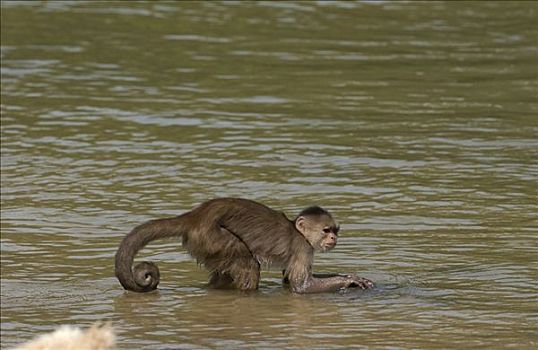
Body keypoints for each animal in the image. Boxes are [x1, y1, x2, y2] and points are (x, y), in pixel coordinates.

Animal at [113, 198, 372, 294]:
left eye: (335, 231)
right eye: (326, 230)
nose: (333, 239)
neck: (297, 231)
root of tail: (194, 216)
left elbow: (288, 279)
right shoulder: (303, 247)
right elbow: (301, 286)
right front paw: (350, 280)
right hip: (211, 237)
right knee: (248, 265)